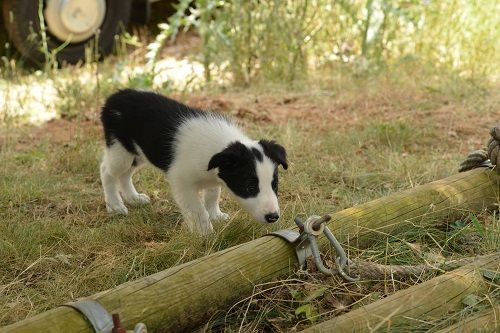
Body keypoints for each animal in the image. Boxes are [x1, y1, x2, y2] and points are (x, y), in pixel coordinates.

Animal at [99, 88, 288, 233]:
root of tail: (114, 97)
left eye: (275, 185)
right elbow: (198, 210)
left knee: (124, 175)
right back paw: (115, 206)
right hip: (120, 151)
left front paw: (216, 215)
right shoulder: (181, 183)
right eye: (249, 187)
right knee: (106, 171)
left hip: (137, 154)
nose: (273, 217)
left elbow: (212, 195)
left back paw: (134, 198)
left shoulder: (215, 175)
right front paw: (206, 234)